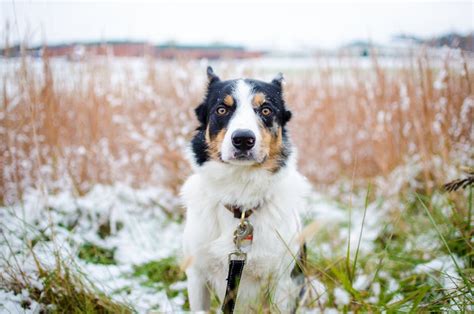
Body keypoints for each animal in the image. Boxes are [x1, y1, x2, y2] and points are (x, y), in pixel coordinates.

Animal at [181, 67, 312, 312]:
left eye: (266, 110)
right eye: (222, 109)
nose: (243, 139)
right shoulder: (196, 276)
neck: (240, 202)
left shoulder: (282, 282)